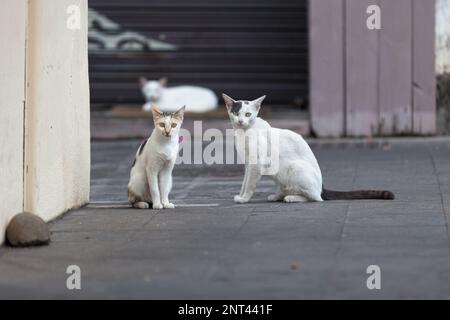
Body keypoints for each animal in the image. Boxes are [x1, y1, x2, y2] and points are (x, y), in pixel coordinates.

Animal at [221, 94, 394, 204]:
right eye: (236, 113)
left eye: (248, 114)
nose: (241, 121)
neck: (244, 133)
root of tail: (322, 186)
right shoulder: (248, 164)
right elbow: (244, 182)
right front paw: (240, 195)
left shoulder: (256, 164)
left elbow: (250, 184)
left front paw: (244, 199)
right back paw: (278, 196)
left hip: (295, 168)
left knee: (316, 198)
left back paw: (292, 198)